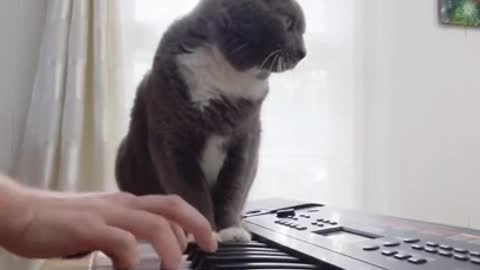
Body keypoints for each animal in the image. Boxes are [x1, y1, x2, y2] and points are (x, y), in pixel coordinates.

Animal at [114, 0, 306, 243]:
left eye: (302, 30)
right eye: (288, 23)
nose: (303, 53)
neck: (227, 74)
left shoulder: (245, 140)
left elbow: (233, 189)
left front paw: (231, 230)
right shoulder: (171, 137)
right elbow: (189, 190)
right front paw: (203, 232)